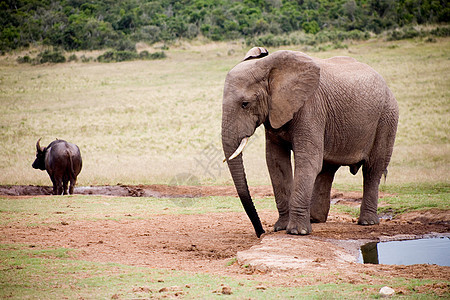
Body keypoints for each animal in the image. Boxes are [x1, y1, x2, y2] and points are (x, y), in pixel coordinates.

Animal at [221, 48, 398, 238]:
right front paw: (281, 228)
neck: (269, 67)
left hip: (387, 117)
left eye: (245, 104)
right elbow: (276, 163)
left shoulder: (311, 108)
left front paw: (297, 232)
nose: (260, 232)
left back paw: (367, 222)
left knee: (373, 169)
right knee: (328, 169)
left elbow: (307, 161)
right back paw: (315, 219)